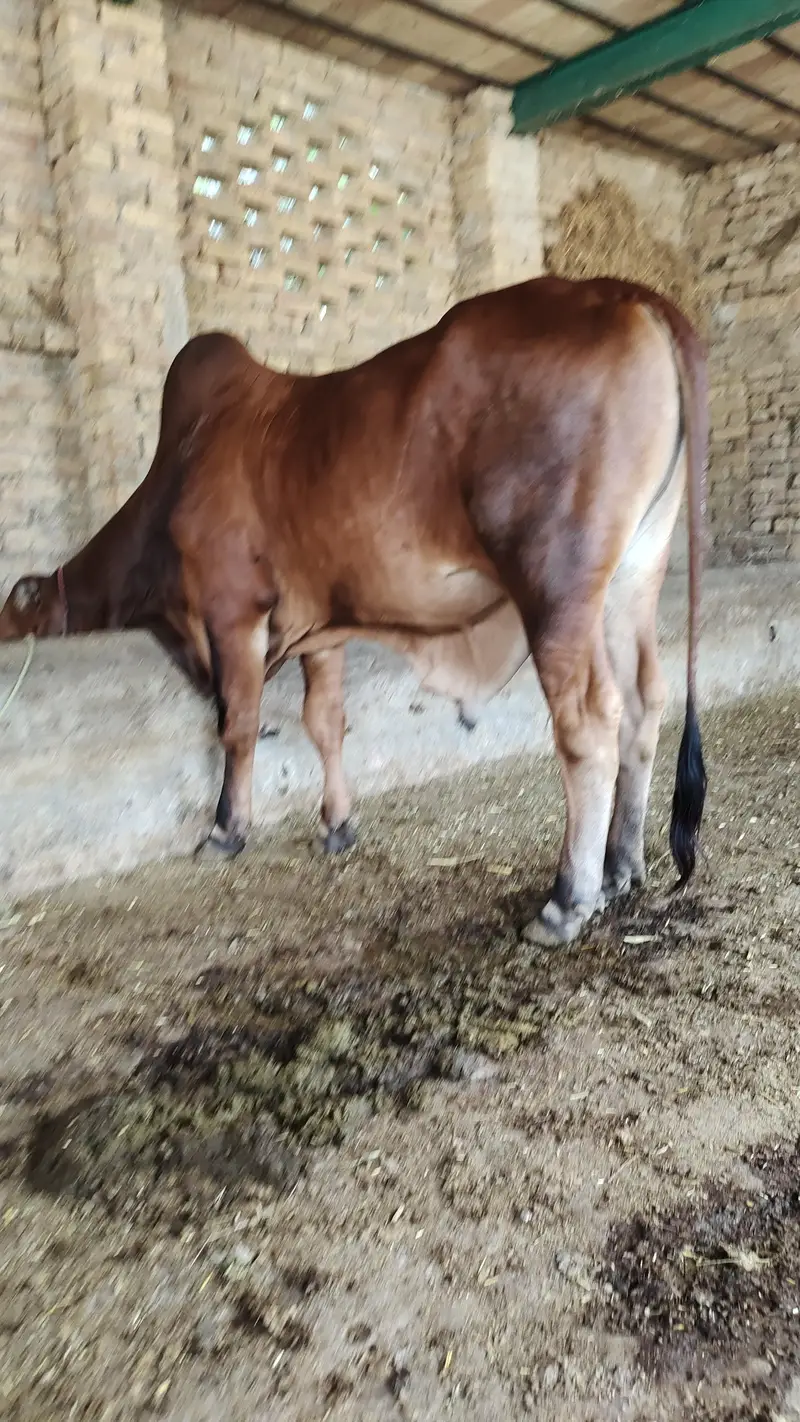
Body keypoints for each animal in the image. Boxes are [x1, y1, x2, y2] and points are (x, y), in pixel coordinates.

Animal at [0, 275, 707, 946]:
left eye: (10, 618)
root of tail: (622, 293)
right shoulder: (320, 629)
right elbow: (324, 722)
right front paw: (337, 824)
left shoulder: (233, 612)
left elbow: (237, 724)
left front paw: (227, 830)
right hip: (634, 574)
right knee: (644, 699)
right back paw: (621, 867)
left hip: (555, 583)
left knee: (588, 721)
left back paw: (569, 898)